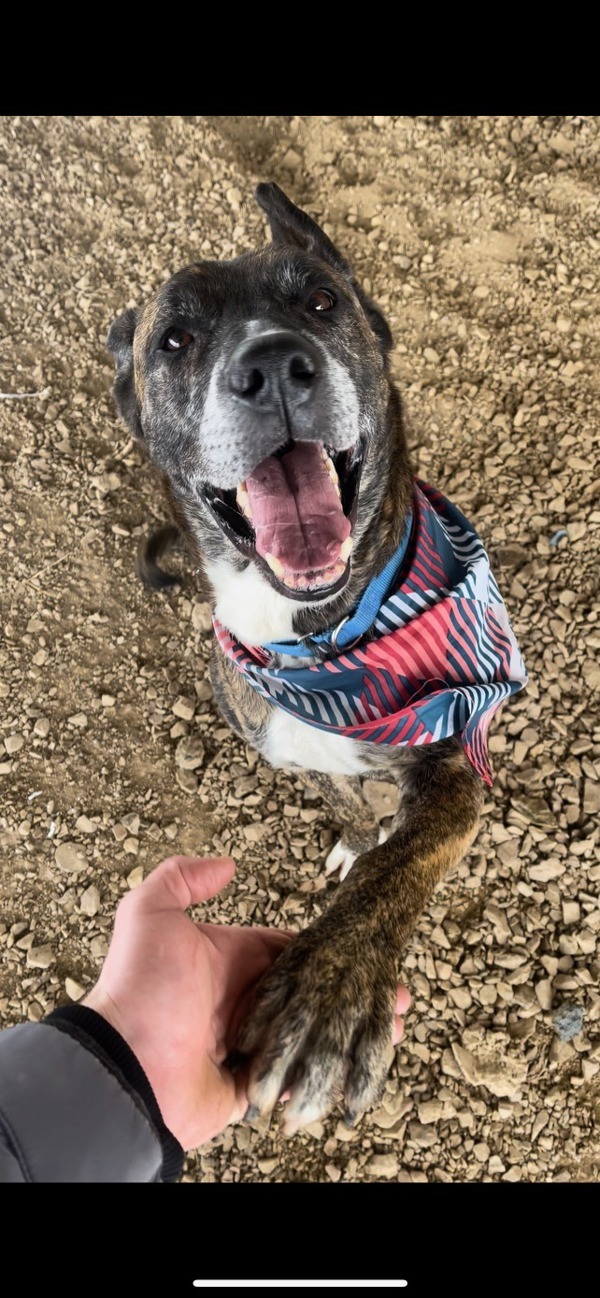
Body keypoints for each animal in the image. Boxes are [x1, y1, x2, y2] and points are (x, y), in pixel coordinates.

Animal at [106, 185, 524, 1137]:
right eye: (173, 340)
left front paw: (332, 989)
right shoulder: (287, 746)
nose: (271, 365)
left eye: (323, 302)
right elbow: (348, 803)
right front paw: (356, 836)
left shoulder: (450, 764)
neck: (318, 638)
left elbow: (409, 855)